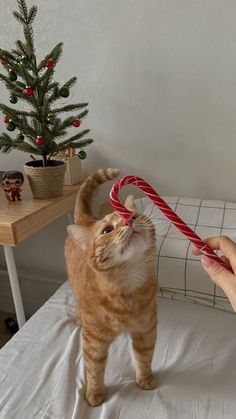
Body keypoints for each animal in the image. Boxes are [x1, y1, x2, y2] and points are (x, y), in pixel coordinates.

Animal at [63, 168, 158, 406]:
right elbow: (94, 368)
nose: (129, 221)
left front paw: (145, 379)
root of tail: (87, 219)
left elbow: (145, 356)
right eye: (107, 230)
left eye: (134, 215)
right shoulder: (94, 341)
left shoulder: (146, 329)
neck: (125, 285)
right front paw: (95, 393)